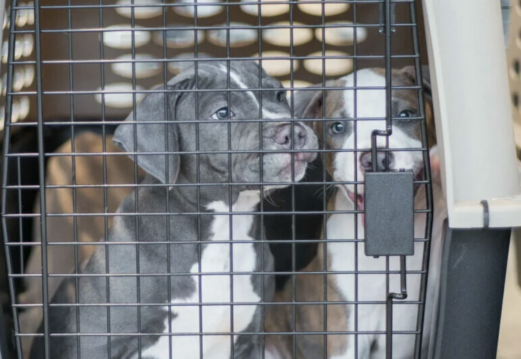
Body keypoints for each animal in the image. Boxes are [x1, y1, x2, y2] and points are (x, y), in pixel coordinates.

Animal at [30, 62, 318, 359]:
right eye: (223, 112)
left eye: (280, 96)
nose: (294, 133)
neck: (225, 225)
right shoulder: (95, 341)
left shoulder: (249, 339)